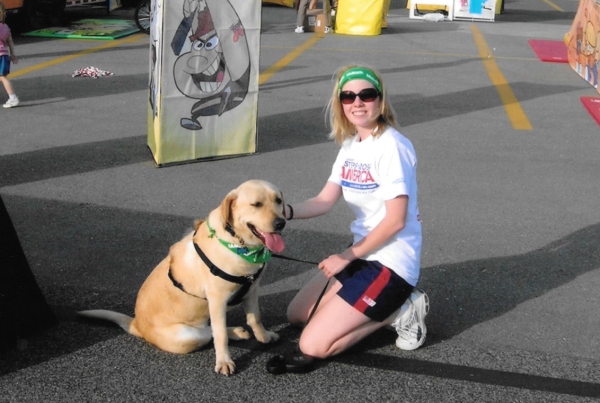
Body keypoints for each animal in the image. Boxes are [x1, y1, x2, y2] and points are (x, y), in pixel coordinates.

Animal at [79, 180, 286, 376]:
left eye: (278, 200)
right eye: (256, 204)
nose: (281, 223)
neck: (239, 244)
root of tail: (136, 324)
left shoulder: (252, 289)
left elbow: (255, 318)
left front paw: (265, 337)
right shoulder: (217, 300)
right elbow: (220, 335)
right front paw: (224, 361)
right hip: (188, 335)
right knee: (209, 333)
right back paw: (233, 332)